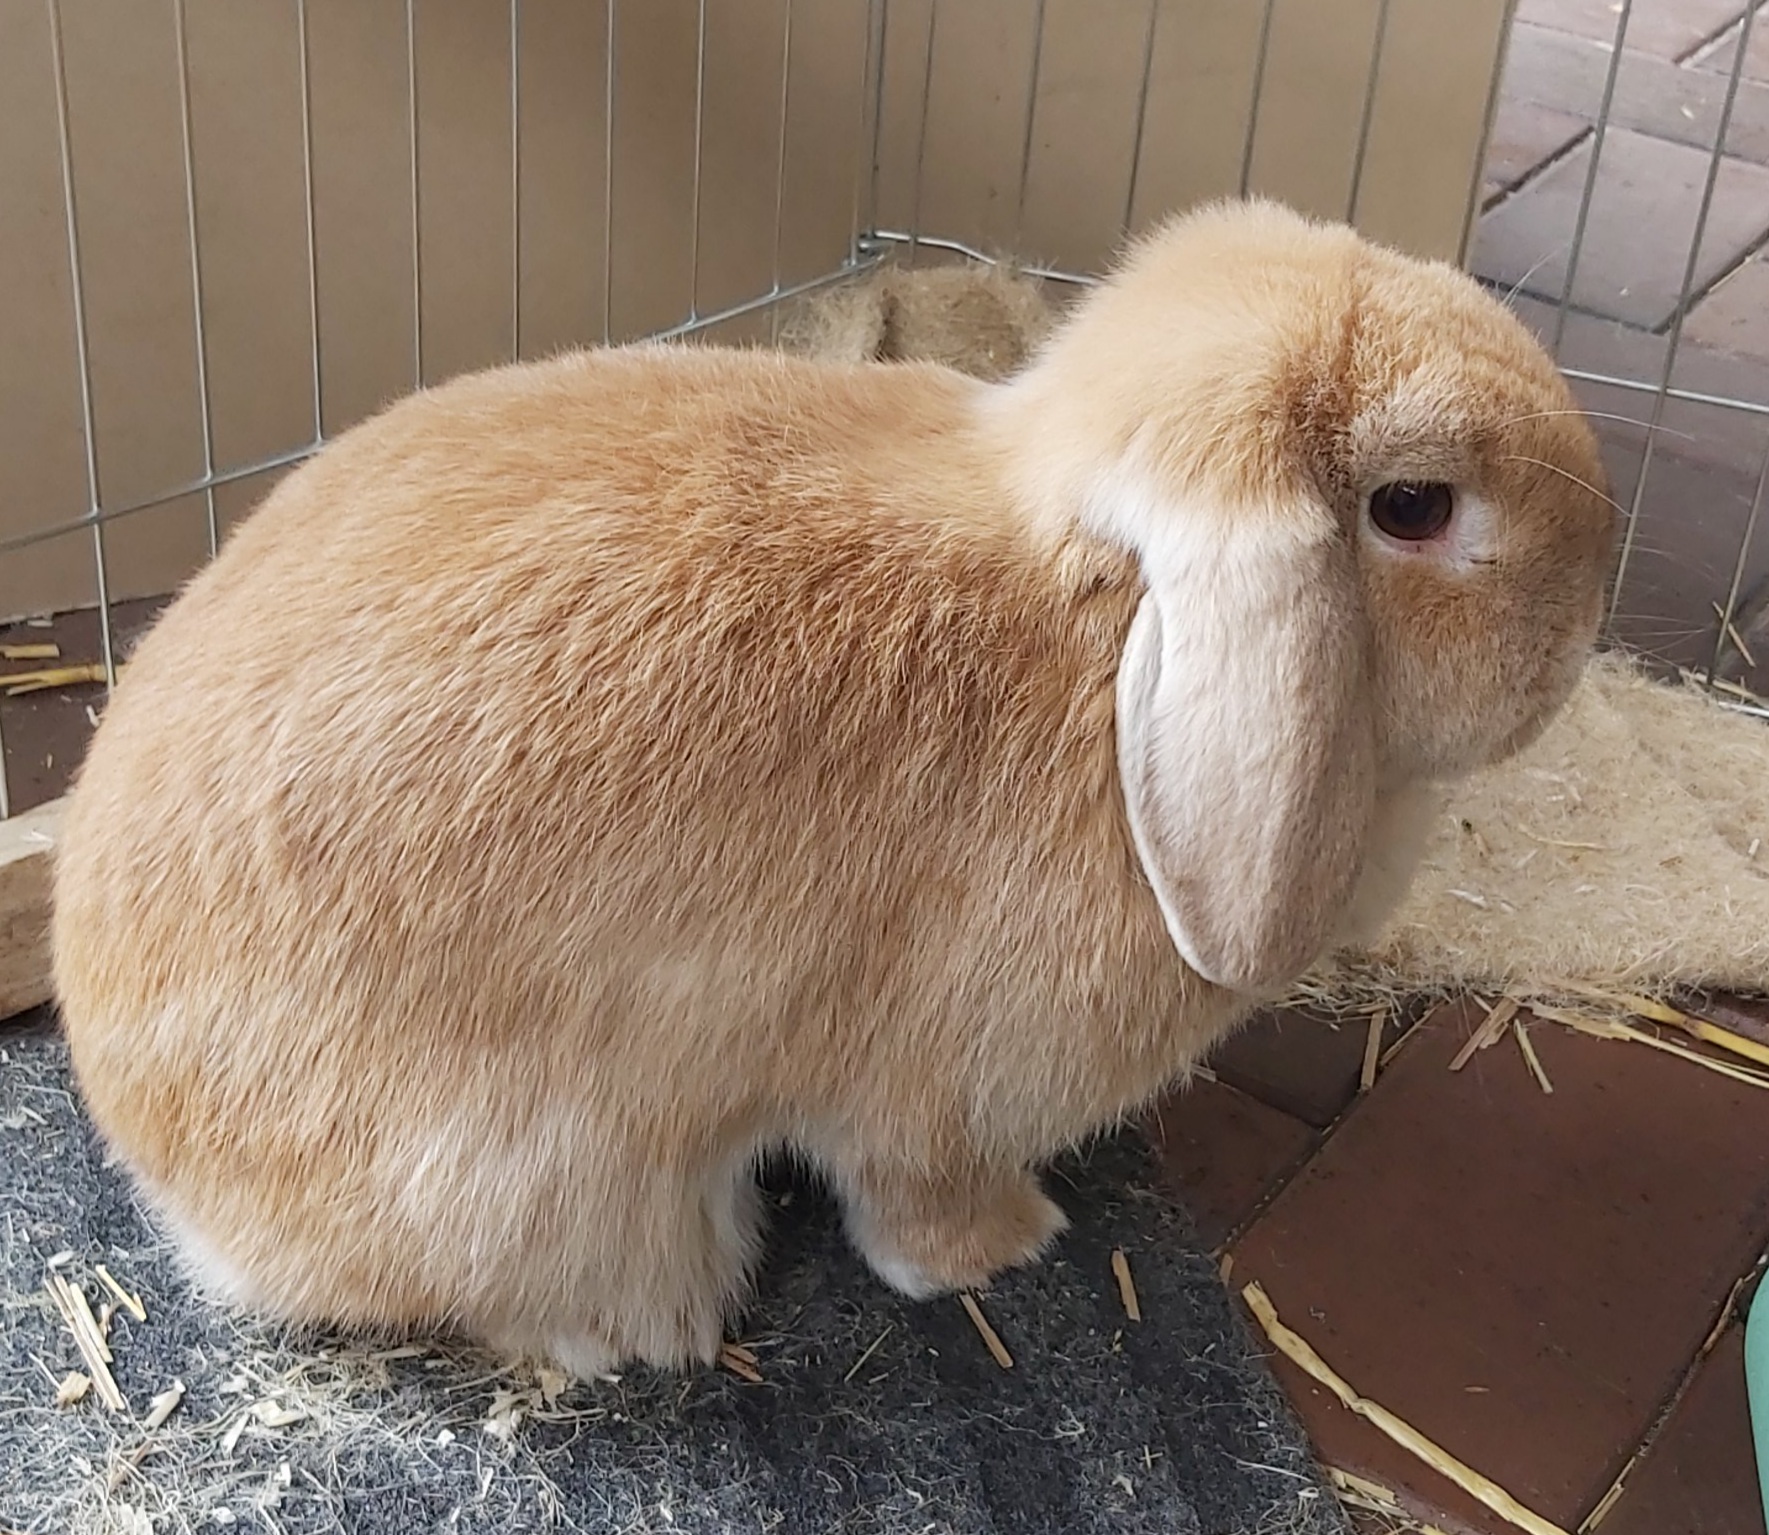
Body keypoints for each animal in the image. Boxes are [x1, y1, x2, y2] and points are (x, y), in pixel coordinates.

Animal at [50, 198, 1616, 1378]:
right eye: (1412, 508)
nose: (1588, 609)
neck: (1108, 628)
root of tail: (151, 1153)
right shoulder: (935, 1090)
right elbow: (913, 1197)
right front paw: (1009, 1243)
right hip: (517, 1167)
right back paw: (636, 1321)